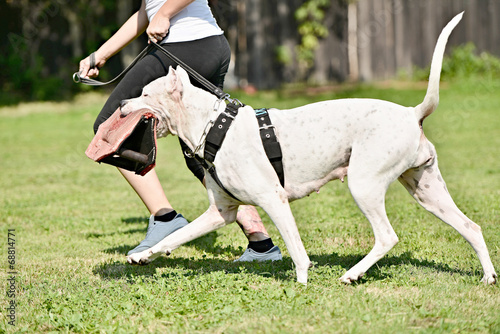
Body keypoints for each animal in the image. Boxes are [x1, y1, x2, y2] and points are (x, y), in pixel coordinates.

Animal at [122, 13, 496, 284]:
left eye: (145, 93)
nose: (123, 103)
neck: (215, 124)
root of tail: (412, 112)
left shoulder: (274, 200)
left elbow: (297, 249)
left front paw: (301, 284)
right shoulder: (221, 212)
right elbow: (175, 238)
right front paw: (142, 255)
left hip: (365, 185)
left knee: (387, 237)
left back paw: (351, 275)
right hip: (427, 191)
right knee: (471, 227)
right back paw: (488, 277)